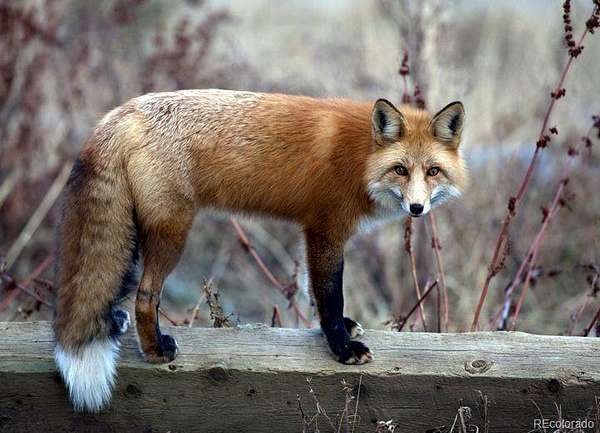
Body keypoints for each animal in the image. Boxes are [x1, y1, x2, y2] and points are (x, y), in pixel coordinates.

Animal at [54, 89, 467, 412]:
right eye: (400, 170)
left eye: (433, 172)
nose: (417, 208)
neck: (361, 158)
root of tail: (121, 114)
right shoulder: (327, 230)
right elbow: (330, 294)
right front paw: (341, 347)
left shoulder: (311, 233)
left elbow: (314, 292)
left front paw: (336, 331)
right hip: (172, 232)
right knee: (144, 296)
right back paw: (155, 349)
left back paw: (115, 322)